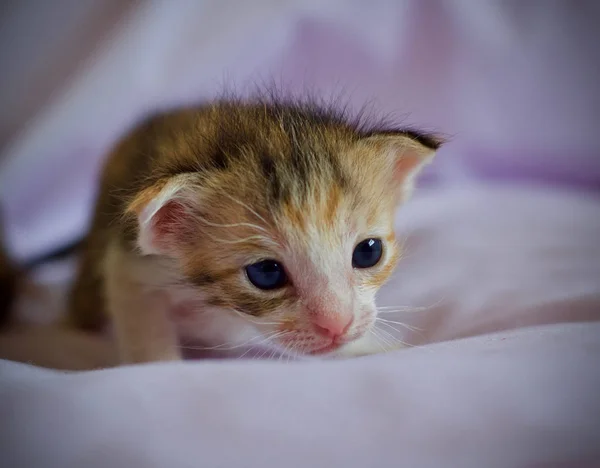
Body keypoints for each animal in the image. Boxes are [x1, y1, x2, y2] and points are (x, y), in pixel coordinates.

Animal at [67, 98, 440, 362]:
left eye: (368, 252)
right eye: (266, 273)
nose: (337, 325)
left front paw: (373, 345)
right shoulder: (133, 264)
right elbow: (143, 326)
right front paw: (161, 371)